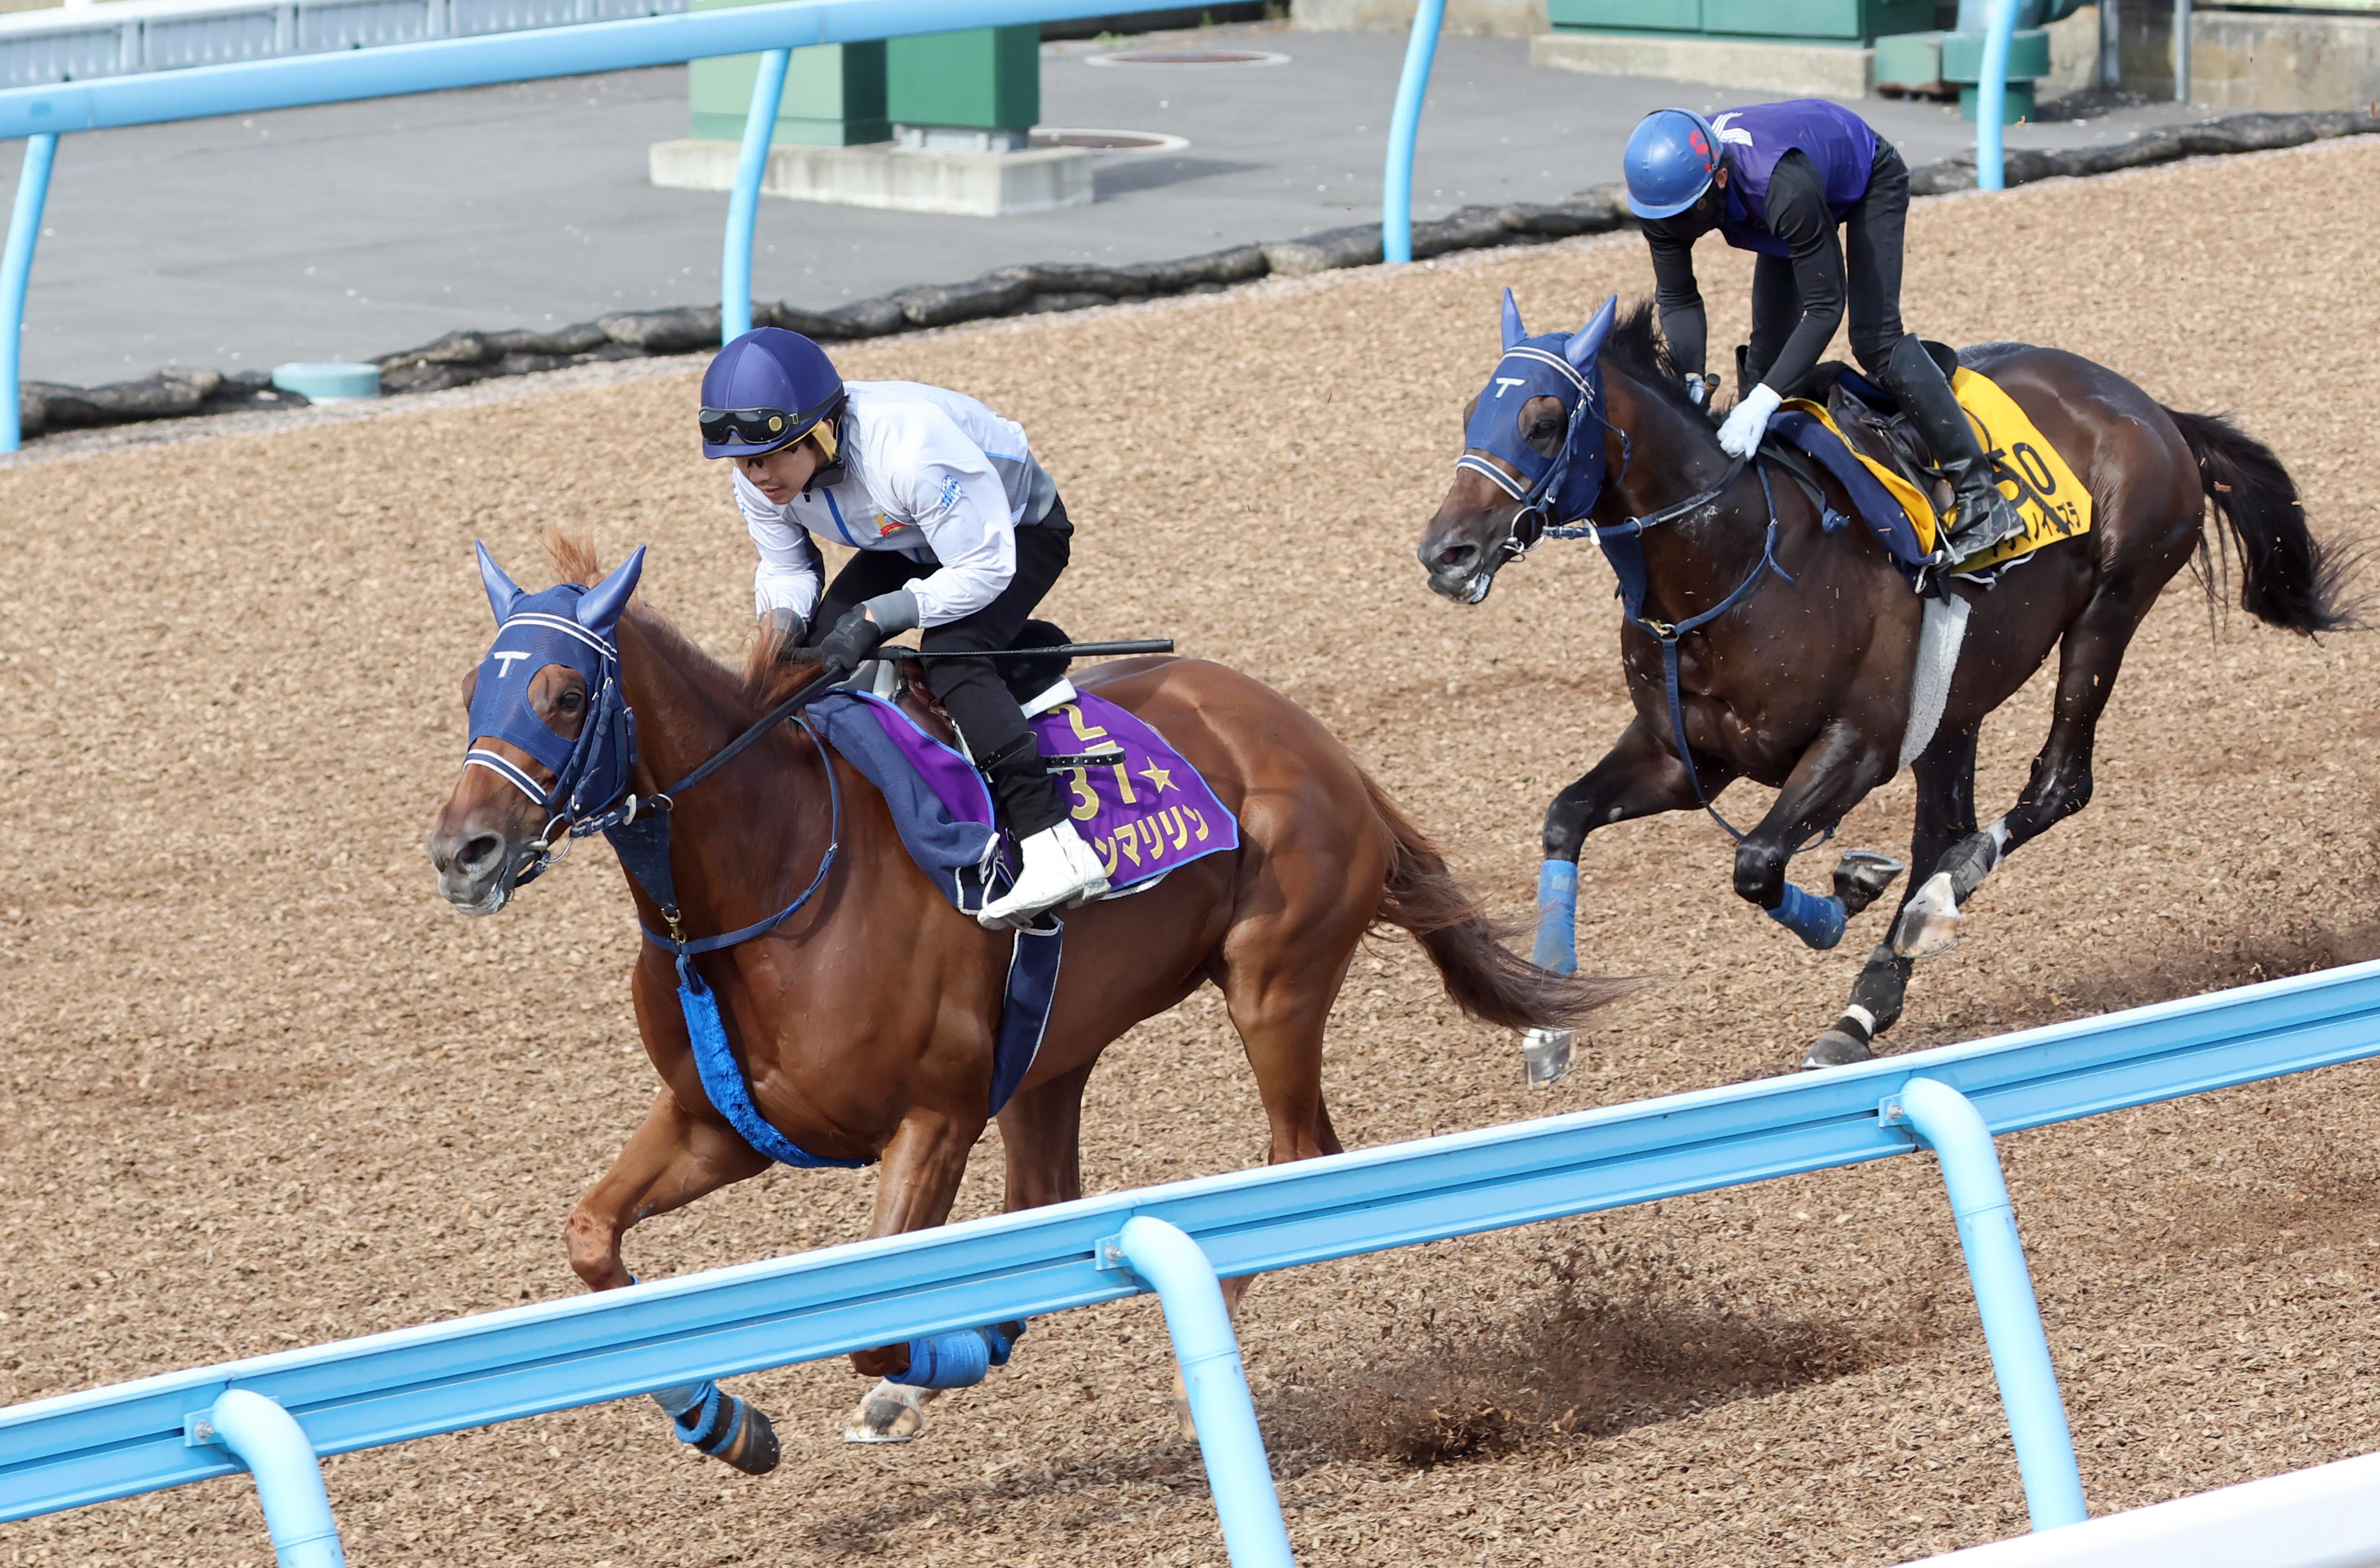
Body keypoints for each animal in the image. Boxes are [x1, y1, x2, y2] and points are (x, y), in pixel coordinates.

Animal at [423, 542, 1618, 1475]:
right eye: (475, 689)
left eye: (565, 694)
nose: (461, 850)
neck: (770, 872)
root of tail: (1315, 739)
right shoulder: (720, 1122)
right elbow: (591, 1242)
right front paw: (725, 1420)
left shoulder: (933, 1116)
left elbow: (872, 1325)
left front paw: (902, 1375)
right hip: (1052, 1053)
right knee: (1050, 1192)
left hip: (1272, 981)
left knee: (1295, 1154)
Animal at [1408, 296, 2341, 1080]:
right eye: (1469, 414)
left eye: (1541, 420)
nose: (1445, 552)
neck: (1736, 554)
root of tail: (2149, 408)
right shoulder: (1687, 757)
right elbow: (1565, 815)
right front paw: (1546, 1024)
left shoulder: (1859, 744)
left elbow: (1755, 861)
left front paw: (1846, 893)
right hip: (1957, 699)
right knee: (1947, 825)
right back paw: (1863, 1005)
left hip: (2110, 608)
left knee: (2052, 786)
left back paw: (1931, 903)